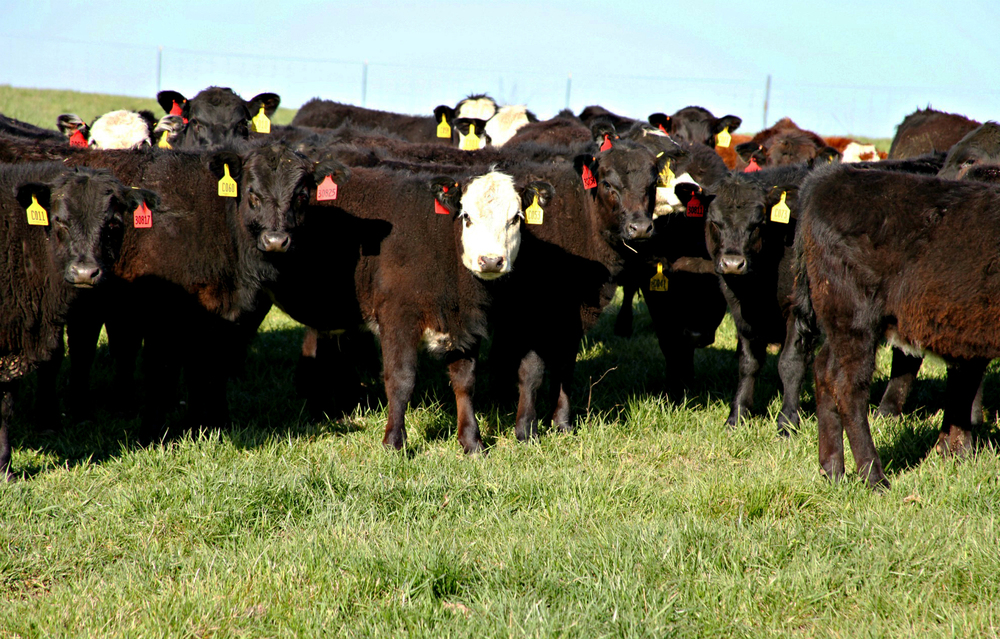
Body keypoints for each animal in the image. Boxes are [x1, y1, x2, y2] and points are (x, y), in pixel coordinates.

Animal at [0, 162, 156, 478]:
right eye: (60, 221)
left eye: (113, 224)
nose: (85, 272)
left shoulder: (13, 340)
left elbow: (6, 406)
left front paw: (4, 466)